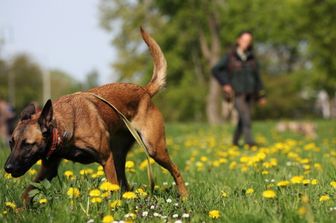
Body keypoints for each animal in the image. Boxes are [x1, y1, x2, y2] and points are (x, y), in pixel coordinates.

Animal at [3, 27, 188, 205]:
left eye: (27, 144)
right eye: (11, 142)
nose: (7, 168)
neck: (65, 127)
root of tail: (144, 91)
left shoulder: (106, 159)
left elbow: (111, 189)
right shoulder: (49, 169)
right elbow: (26, 195)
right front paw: (17, 210)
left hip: (154, 149)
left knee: (176, 171)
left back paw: (185, 196)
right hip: (119, 157)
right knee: (125, 186)